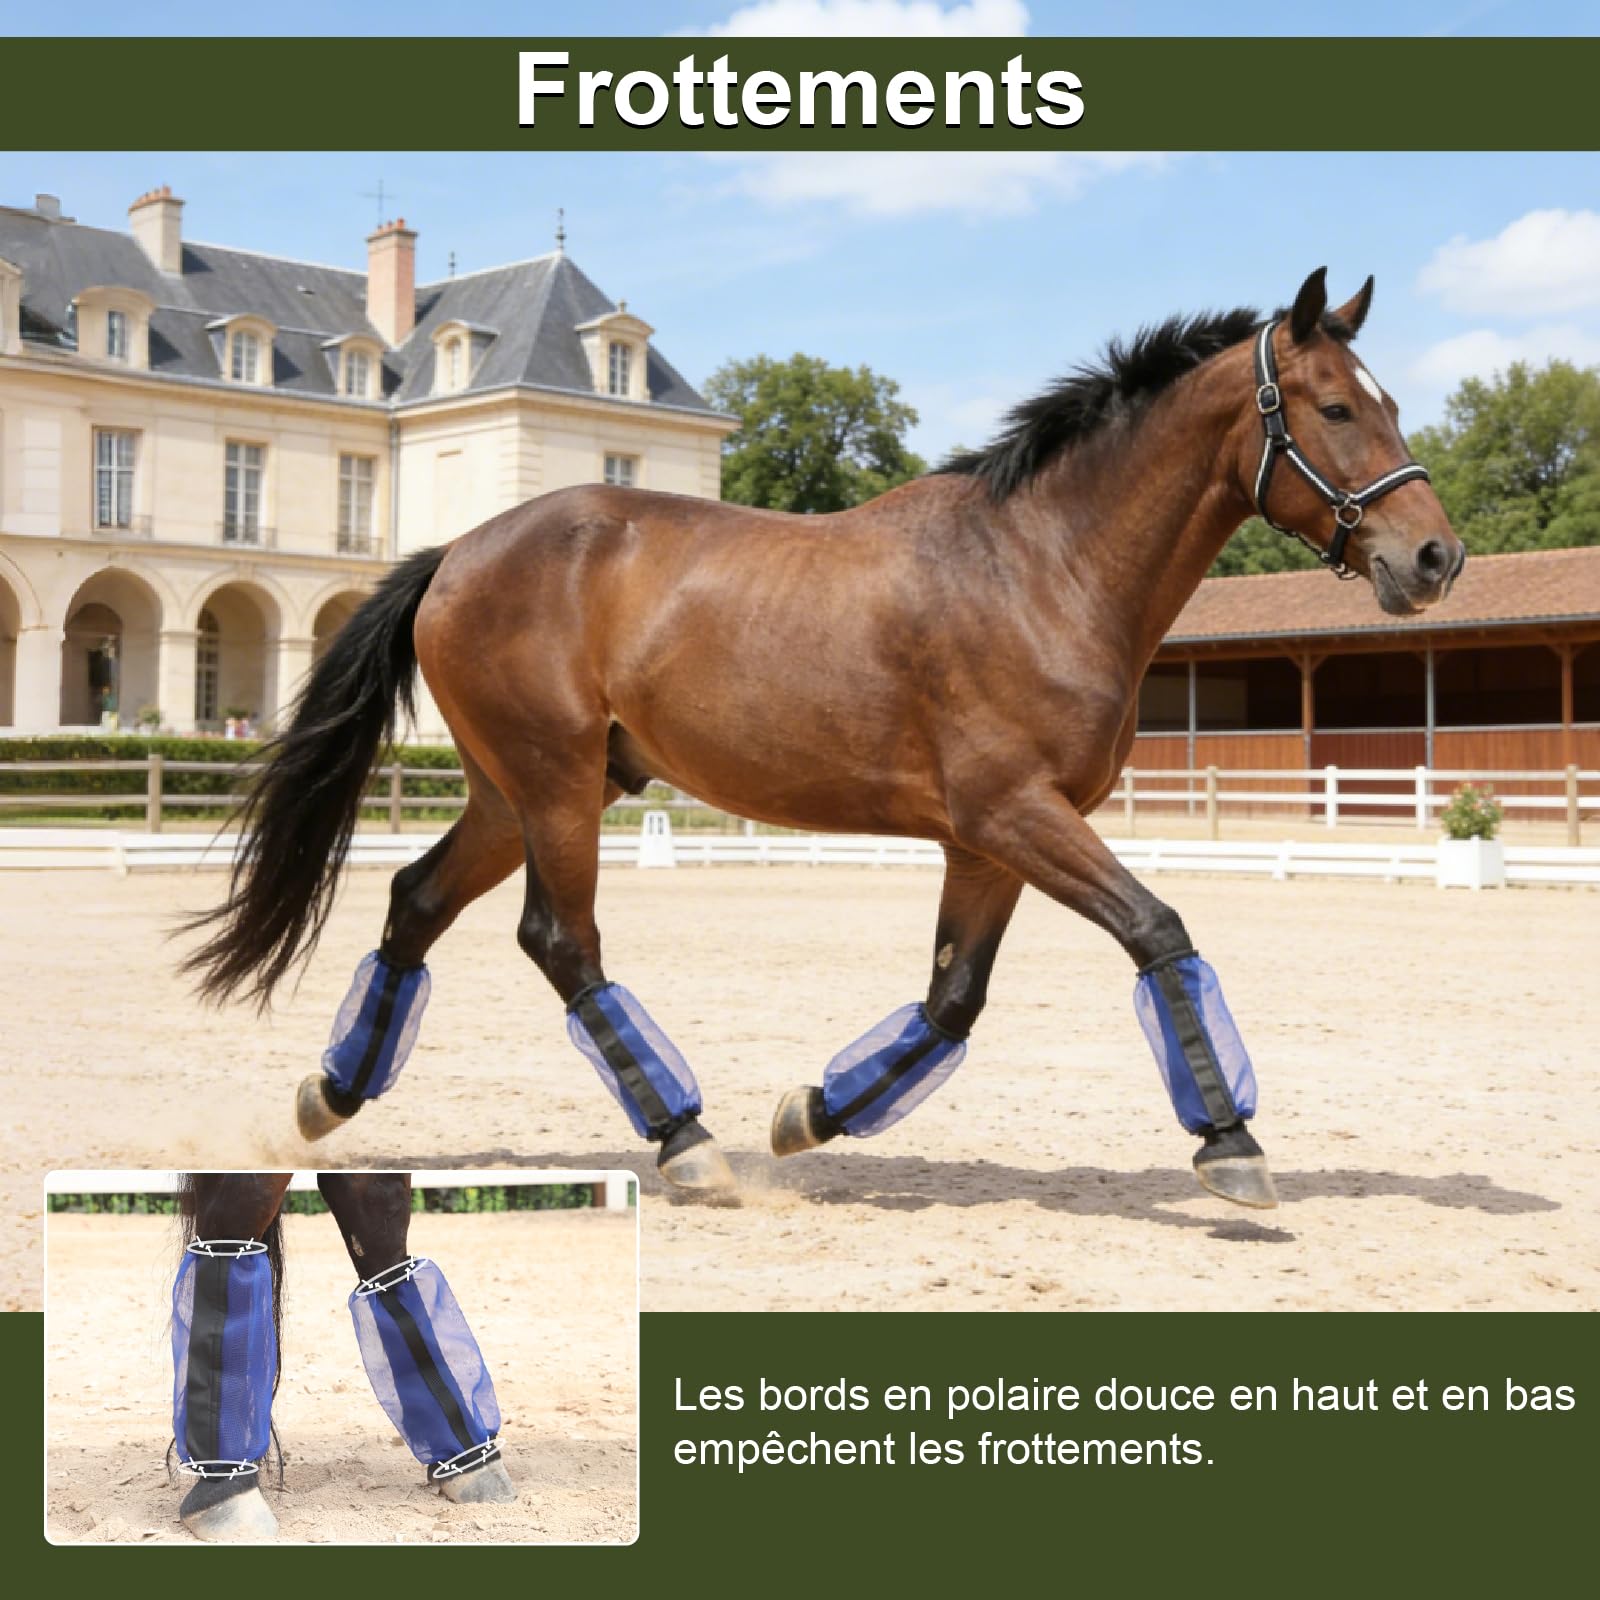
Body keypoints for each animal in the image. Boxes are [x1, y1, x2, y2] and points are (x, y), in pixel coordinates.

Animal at [183, 268, 1463, 1209]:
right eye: (1336, 408)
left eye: (1392, 403)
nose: (1434, 558)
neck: (1044, 567)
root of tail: (459, 551)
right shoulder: (1015, 812)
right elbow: (1157, 930)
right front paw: (1231, 1144)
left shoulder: (987, 842)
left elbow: (951, 1001)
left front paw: (808, 1114)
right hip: (551, 785)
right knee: (561, 941)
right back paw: (685, 1142)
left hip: (524, 790)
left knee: (415, 903)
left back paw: (326, 1098)